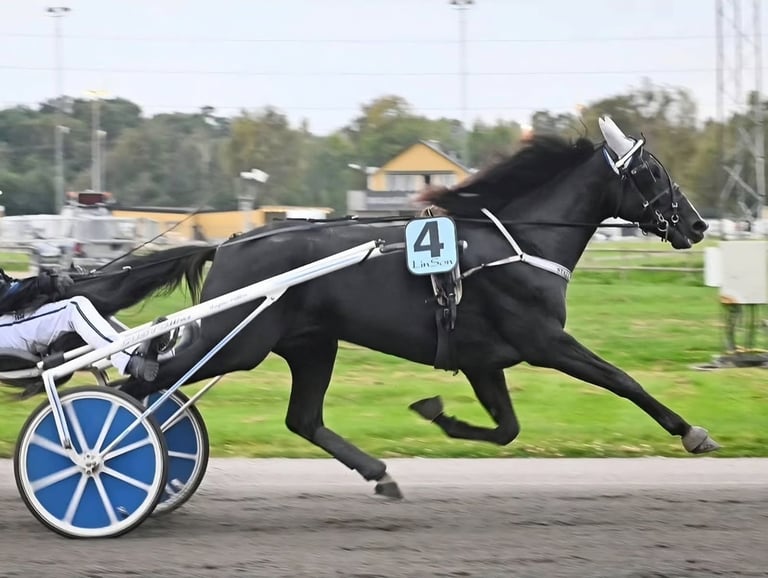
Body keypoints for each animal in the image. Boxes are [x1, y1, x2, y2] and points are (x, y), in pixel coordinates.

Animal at [69, 117, 716, 499]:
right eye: (652, 172)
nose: (697, 225)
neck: (517, 243)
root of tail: (226, 243)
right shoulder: (544, 342)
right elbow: (622, 380)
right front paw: (692, 432)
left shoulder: (484, 360)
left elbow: (506, 429)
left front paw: (436, 414)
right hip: (236, 342)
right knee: (136, 383)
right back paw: (95, 453)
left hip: (309, 344)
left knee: (299, 418)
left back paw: (380, 475)